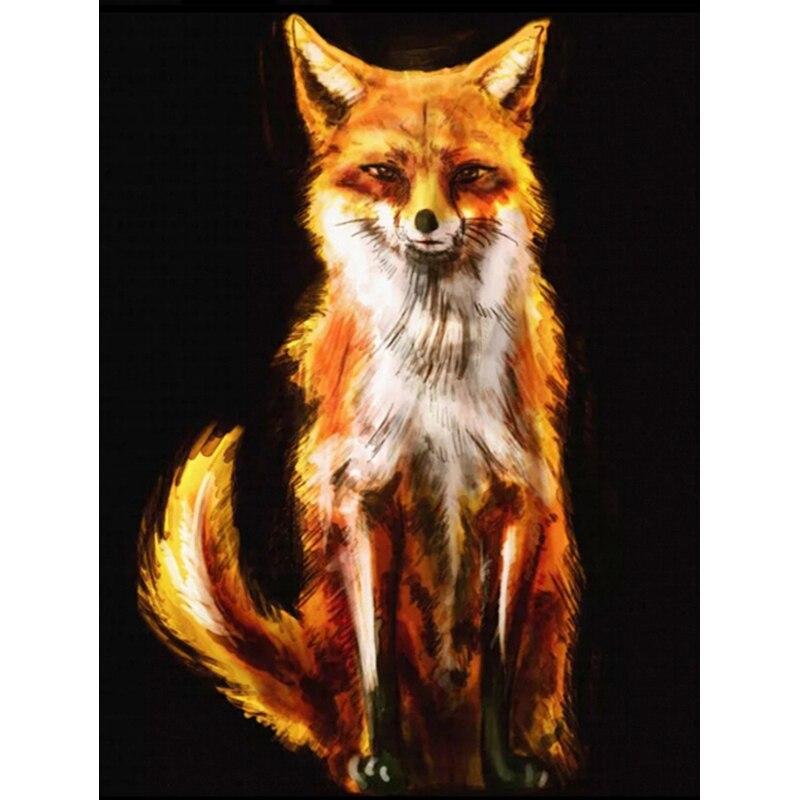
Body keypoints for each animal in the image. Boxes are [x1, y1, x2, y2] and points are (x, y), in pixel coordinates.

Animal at [137, 14, 583, 794]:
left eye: (468, 174)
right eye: (386, 173)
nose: (429, 220)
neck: (436, 374)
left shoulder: (517, 495)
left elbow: (496, 665)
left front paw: (504, 765)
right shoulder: (361, 496)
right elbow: (377, 664)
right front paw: (381, 760)